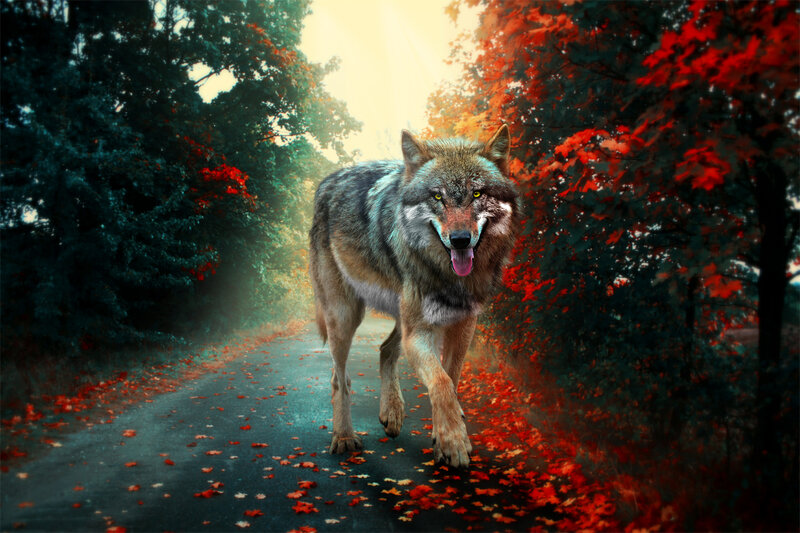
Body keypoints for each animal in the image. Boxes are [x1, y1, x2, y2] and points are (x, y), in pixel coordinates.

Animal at [308, 125, 519, 467]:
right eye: (437, 196)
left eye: (477, 194)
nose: (460, 240)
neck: (449, 277)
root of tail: (327, 181)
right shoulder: (419, 332)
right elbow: (442, 382)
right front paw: (454, 444)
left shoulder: (463, 326)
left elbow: (450, 379)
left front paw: (444, 437)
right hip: (345, 316)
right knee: (340, 379)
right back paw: (343, 437)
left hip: (399, 314)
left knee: (384, 349)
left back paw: (392, 414)